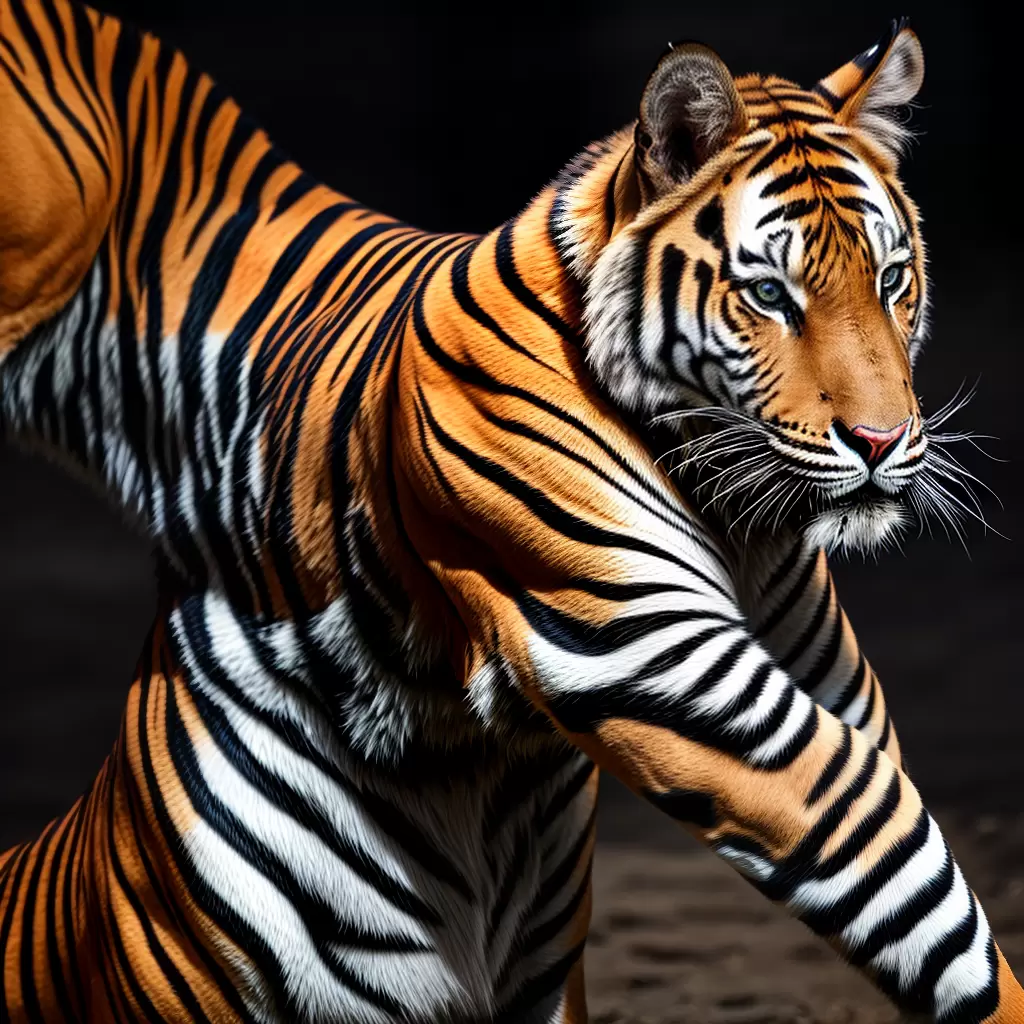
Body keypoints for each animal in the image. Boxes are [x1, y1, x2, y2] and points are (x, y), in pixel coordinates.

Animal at [0, 0, 1019, 1020]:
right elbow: (898, 862)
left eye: (891, 280)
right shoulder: (650, 649)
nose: (883, 442)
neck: (740, 520)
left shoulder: (815, 665)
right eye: (770, 294)